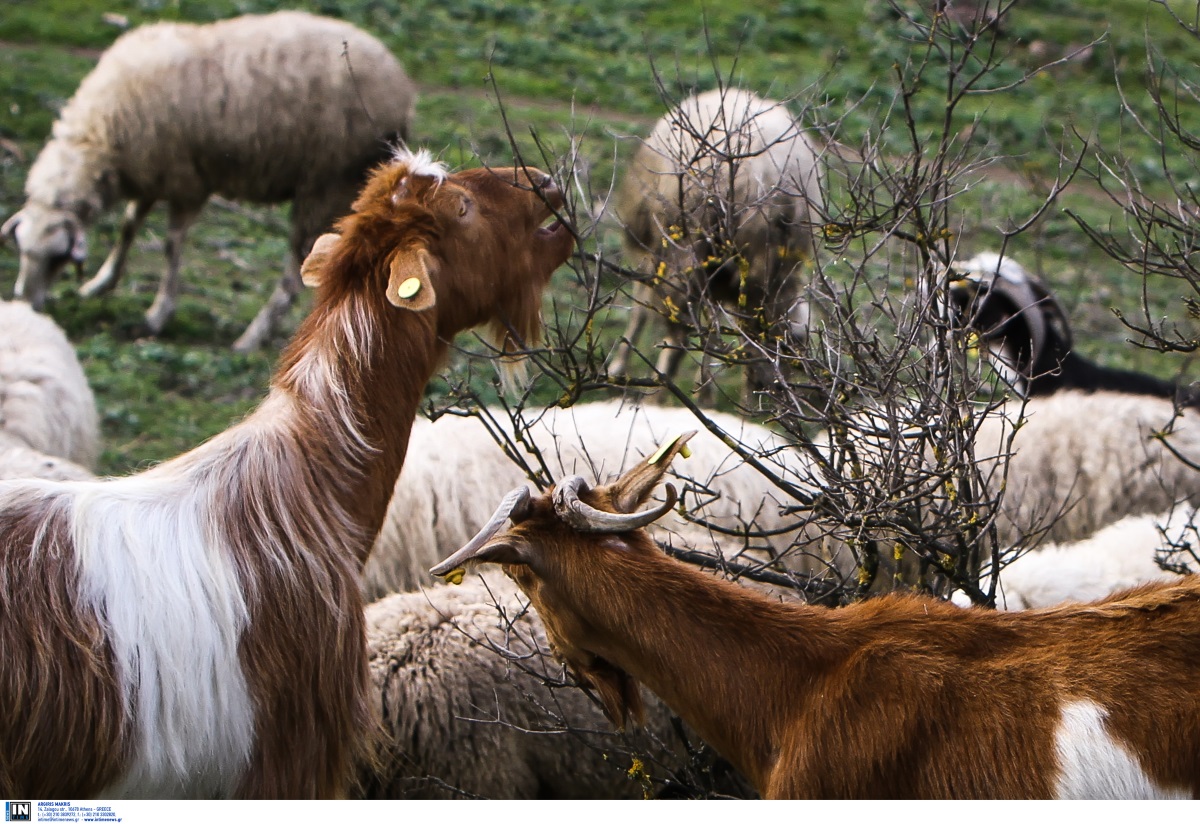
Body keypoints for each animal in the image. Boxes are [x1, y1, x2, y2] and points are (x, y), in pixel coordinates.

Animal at [2, 10, 417, 350]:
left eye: (56, 259)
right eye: (22, 250)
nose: (25, 302)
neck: (100, 137)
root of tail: (401, 88)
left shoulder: (187, 182)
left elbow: (171, 246)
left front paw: (158, 315)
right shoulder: (152, 173)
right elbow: (128, 226)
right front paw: (101, 283)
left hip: (325, 183)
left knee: (295, 270)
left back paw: (251, 338)